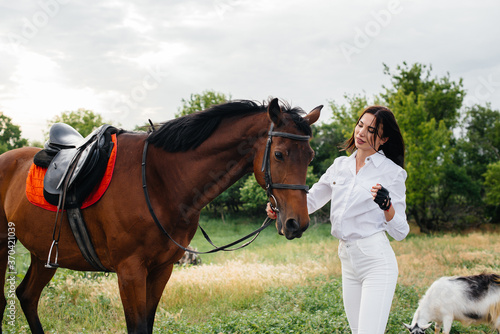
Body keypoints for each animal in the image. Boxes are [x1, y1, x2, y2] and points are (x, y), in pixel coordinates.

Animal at [0, 98, 322, 332]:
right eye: (279, 154)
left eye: (310, 157)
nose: (297, 223)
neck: (158, 180)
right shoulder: (130, 272)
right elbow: (137, 327)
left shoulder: (162, 269)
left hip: (44, 254)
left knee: (26, 297)